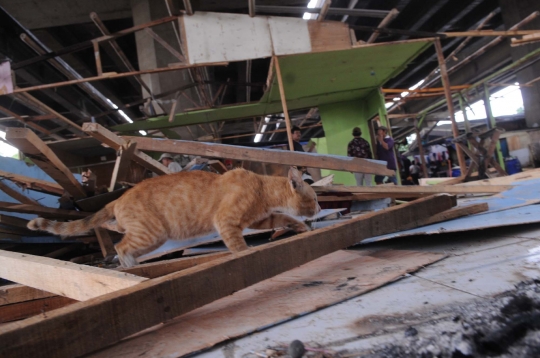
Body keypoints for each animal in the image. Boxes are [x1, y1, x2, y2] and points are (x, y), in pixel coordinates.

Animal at [27, 167, 318, 266]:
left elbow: (284, 219)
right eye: (315, 199)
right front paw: (246, 254)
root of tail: (118, 198)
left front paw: (300, 227)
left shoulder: (259, 220)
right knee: (121, 247)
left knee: (118, 231)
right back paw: (130, 266)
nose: (318, 209)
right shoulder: (226, 222)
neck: (261, 188)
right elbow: (238, 246)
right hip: (152, 234)